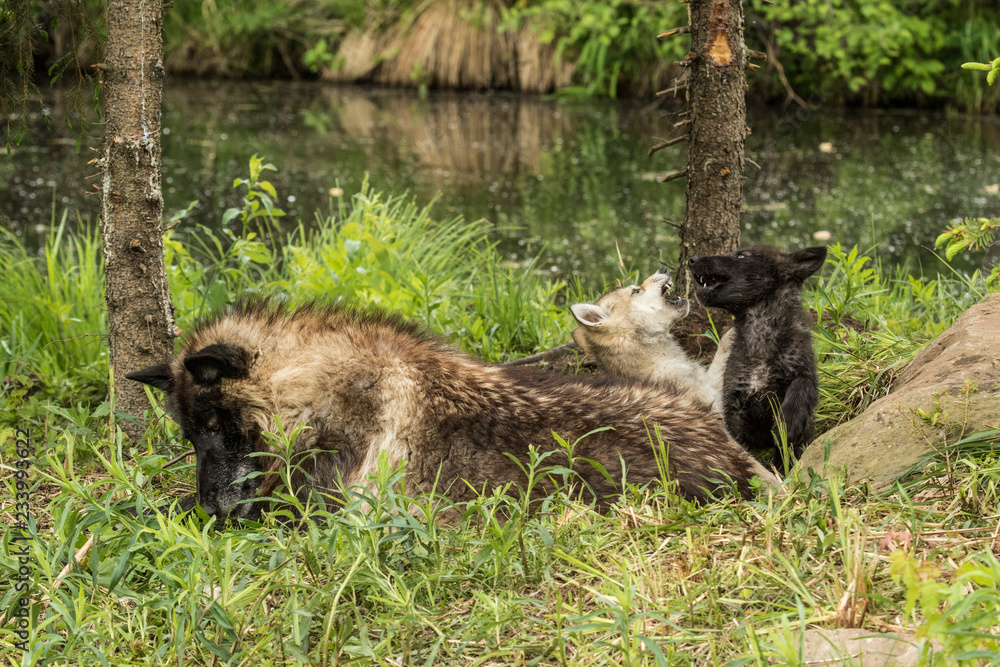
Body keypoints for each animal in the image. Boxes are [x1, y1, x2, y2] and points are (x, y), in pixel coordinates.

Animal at [687, 245, 827, 461]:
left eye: (741, 256)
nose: (692, 259)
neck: (760, 331)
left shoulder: (805, 371)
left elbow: (800, 389)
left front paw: (787, 425)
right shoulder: (734, 401)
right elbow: (735, 438)